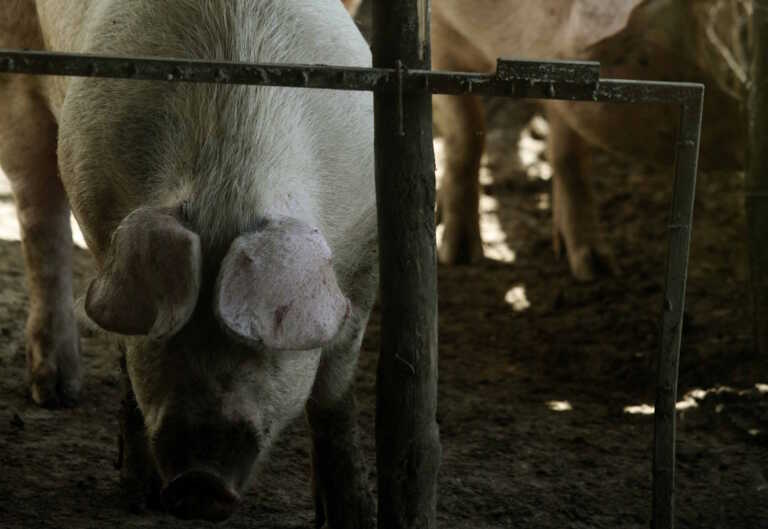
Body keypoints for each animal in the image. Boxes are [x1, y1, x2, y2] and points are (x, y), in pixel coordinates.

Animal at [0, 0, 378, 524]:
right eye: (167, 334)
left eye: (261, 344)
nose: (198, 483)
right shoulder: (97, 211)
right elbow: (126, 353)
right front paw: (138, 496)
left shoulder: (364, 245)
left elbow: (333, 393)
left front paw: (353, 517)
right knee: (38, 209)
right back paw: (55, 394)